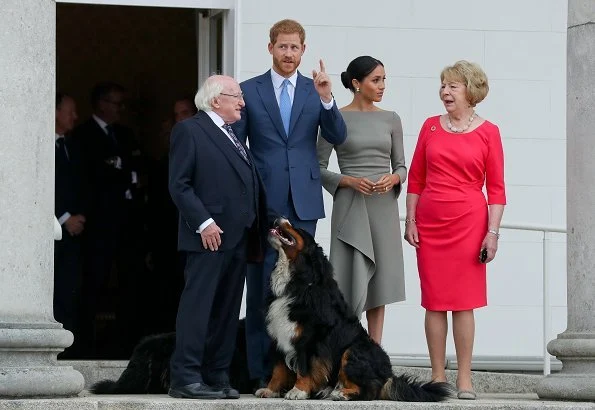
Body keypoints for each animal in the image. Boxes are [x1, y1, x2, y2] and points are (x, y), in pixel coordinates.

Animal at [258, 218, 454, 400]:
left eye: (297, 228)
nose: (279, 218)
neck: (298, 281)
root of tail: (388, 376)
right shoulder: (279, 335)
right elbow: (278, 368)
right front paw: (270, 390)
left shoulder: (311, 337)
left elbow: (306, 367)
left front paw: (298, 391)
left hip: (352, 350)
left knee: (370, 389)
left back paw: (341, 393)